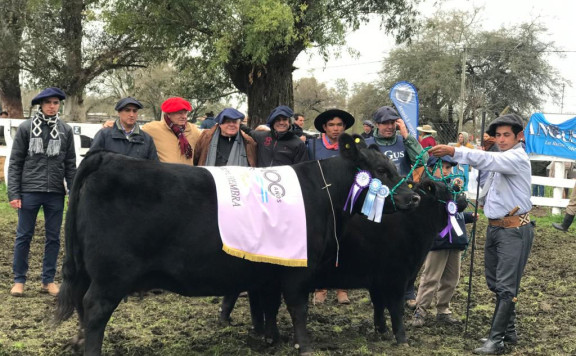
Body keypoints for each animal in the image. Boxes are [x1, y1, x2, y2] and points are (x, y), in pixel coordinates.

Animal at [55, 134, 418, 356]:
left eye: (392, 165)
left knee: (82, 307)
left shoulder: (271, 267)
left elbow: (270, 305)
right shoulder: (299, 270)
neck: (320, 192)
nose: (413, 197)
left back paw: (76, 342)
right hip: (111, 275)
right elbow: (297, 308)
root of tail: (107, 157)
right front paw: (304, 346)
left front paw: (271, 339)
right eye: (382, 169)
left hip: (89, 271)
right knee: (95, 309)